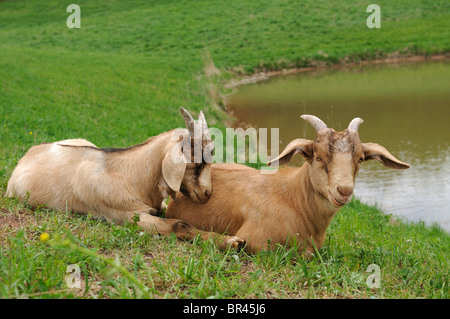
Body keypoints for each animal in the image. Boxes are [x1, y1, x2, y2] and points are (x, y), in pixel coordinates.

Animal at [7, 107, 244, 250]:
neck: (132, 177)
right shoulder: (127, 216)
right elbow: (179, 224)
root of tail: (29, 153)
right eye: (195, 163)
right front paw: (230, 241)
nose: (207, 193)